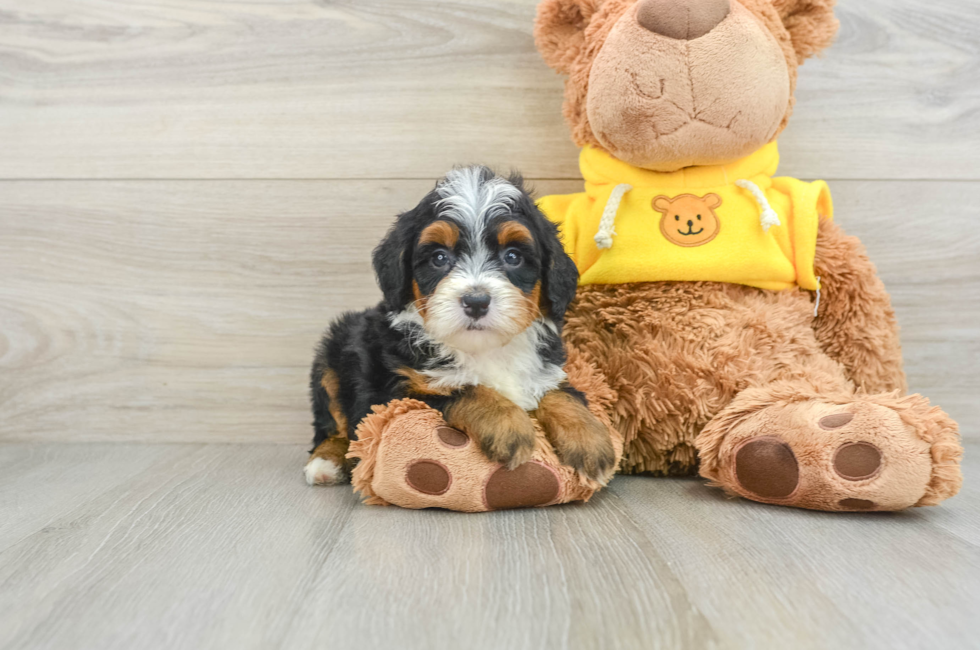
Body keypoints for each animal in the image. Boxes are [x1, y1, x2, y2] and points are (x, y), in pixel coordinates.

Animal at [306, 167, 612, 486]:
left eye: (513, 256)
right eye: (439, 257)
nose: (476, 301)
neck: (485, 349)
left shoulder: (548, 371)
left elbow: (561, 393)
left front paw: (589, 438)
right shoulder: (388, 397)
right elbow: (462, 389)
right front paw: (509, 425)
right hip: (331, 359)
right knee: (329, 426)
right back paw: (326, 462)